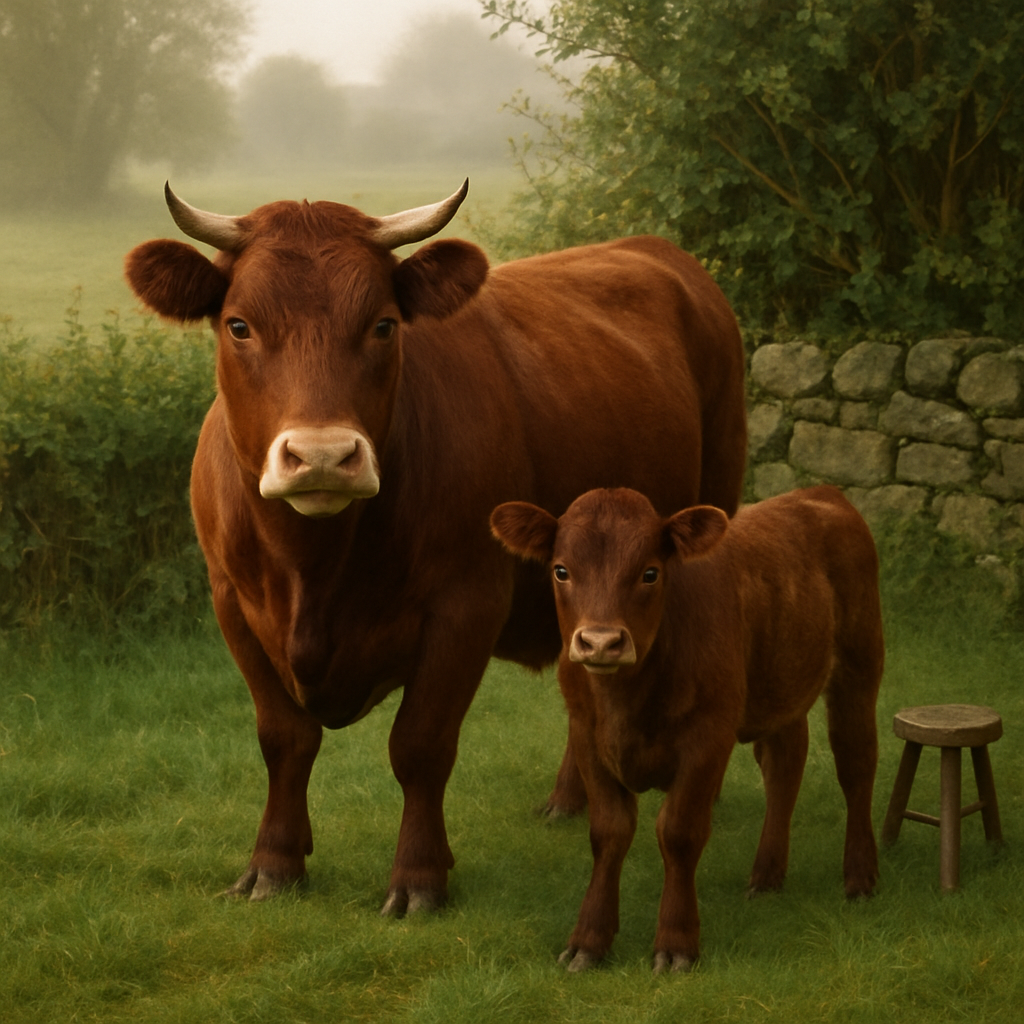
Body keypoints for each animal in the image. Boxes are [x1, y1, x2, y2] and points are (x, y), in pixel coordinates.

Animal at [123, 180, 747, 914]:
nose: (323, 456)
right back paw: (570, 800)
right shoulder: (232, 603)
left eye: (384, 324)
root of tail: (655, 251)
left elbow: (420, 745)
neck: (314, 565)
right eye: (239, 325)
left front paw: (419, 875)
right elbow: (284, 739)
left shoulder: (466, 605)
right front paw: (274, 862)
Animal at [489, 485, 883, 973]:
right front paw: (589, 940)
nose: (600, 642)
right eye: (561, 570)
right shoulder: (585, 734)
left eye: (650, 572)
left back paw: (861, 876)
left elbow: (679, 832)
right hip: (782, 680)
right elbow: (608, 832)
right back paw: (767, 875)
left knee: (856, 762)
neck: (626, 698)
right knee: (785, 766)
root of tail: (817, 493)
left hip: (859, 662)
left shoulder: (708, 737)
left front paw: (677, 942)